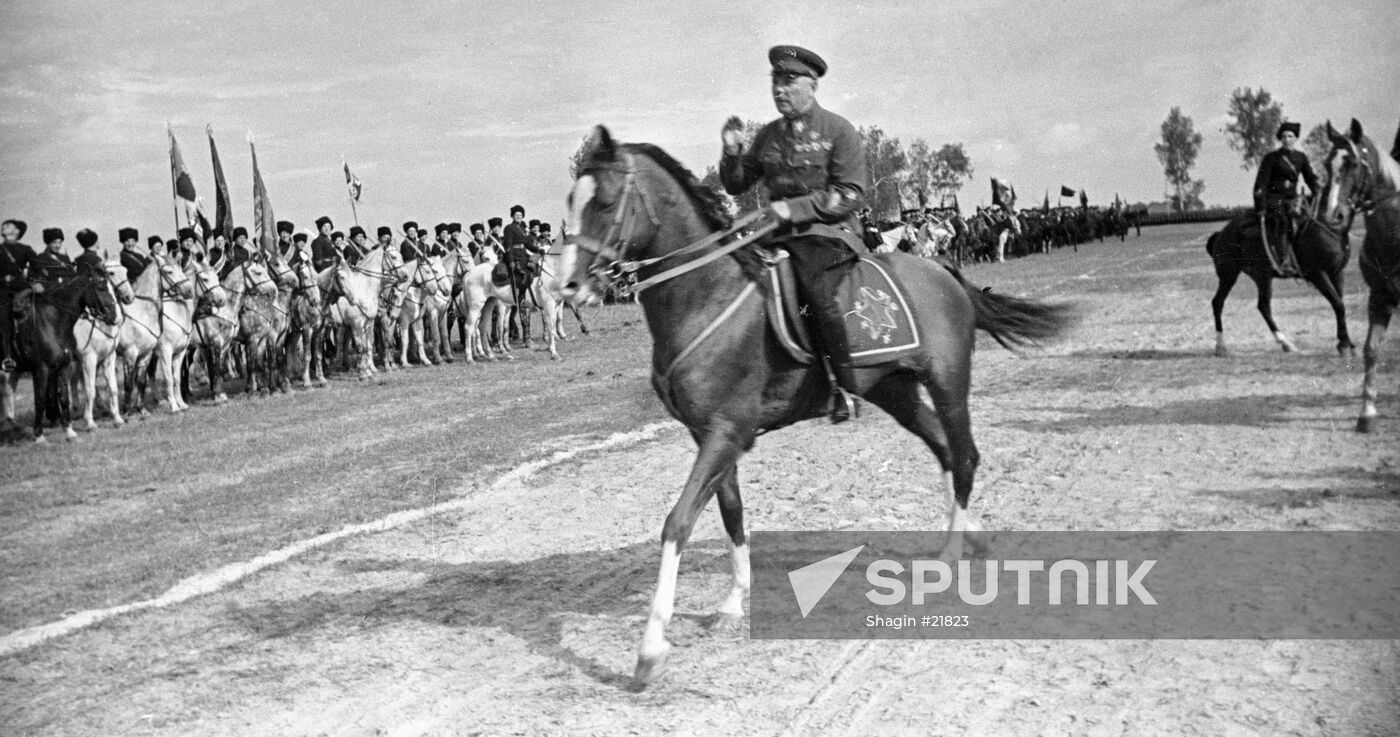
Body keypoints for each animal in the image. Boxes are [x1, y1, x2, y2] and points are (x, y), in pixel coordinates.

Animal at [7, 274, 117, 442]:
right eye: (100, 287)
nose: (114, 316)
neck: (51, 321)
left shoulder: (100, 359)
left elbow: (110, 388)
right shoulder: (46, 368)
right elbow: (42, 399)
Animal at [557, 128, 1069, 686]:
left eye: (605, 202)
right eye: (570, 202)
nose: (568, 287)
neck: (705, 296)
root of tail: (942, 268)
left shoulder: (726, 431)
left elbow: (678, 522)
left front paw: (650, 648)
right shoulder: (711, 434)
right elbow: (732, 513)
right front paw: (733, 602)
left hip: (948, 382)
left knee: (966, 454)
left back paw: (950, 557)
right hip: (895, 392)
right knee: (946, 451)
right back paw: (971, 538)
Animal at [1209, 190, 1349, 358]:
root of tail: (1220, 234)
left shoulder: (1337, 272)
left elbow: (1340, 303)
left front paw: (1346, 342)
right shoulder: (1318, 274)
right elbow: (1338, 304)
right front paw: (1345, 345)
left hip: (1258, 276)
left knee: (1258, 306)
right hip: (1234, 276)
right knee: (1225, 303)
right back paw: (1223, 346)